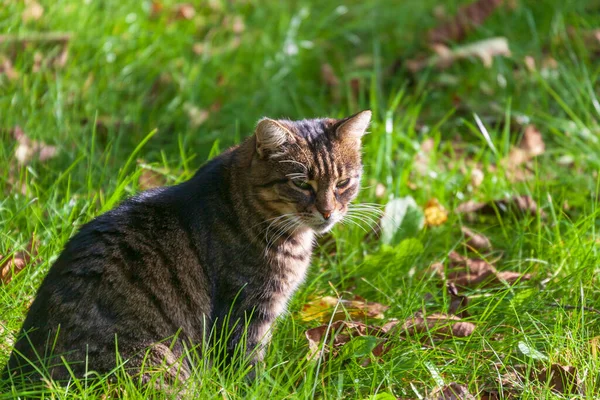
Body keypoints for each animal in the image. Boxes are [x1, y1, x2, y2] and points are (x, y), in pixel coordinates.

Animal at [2, 109, 372, 388]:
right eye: (301, 183)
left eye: (343, 183)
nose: (328, 212)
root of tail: (18, 375)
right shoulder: (245, 310)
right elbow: (246, 367)